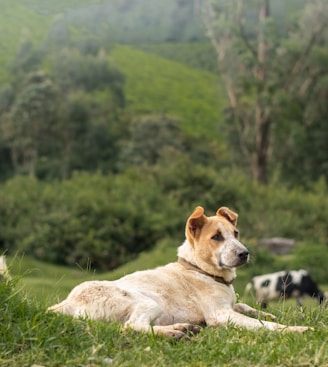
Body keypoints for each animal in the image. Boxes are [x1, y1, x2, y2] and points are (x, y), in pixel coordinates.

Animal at [48, 207, 310, 340]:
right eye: (217, 237)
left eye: (235, 233)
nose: (244, 253)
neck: (200, 270)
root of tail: (68, 303)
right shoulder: (220, 315)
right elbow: (261, 325)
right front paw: (295, 329)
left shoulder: (231, 305)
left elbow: (248, 307)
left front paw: (271, 314)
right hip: (146, 301)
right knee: (132, 326)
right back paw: (175, 332)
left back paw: (183, 328)